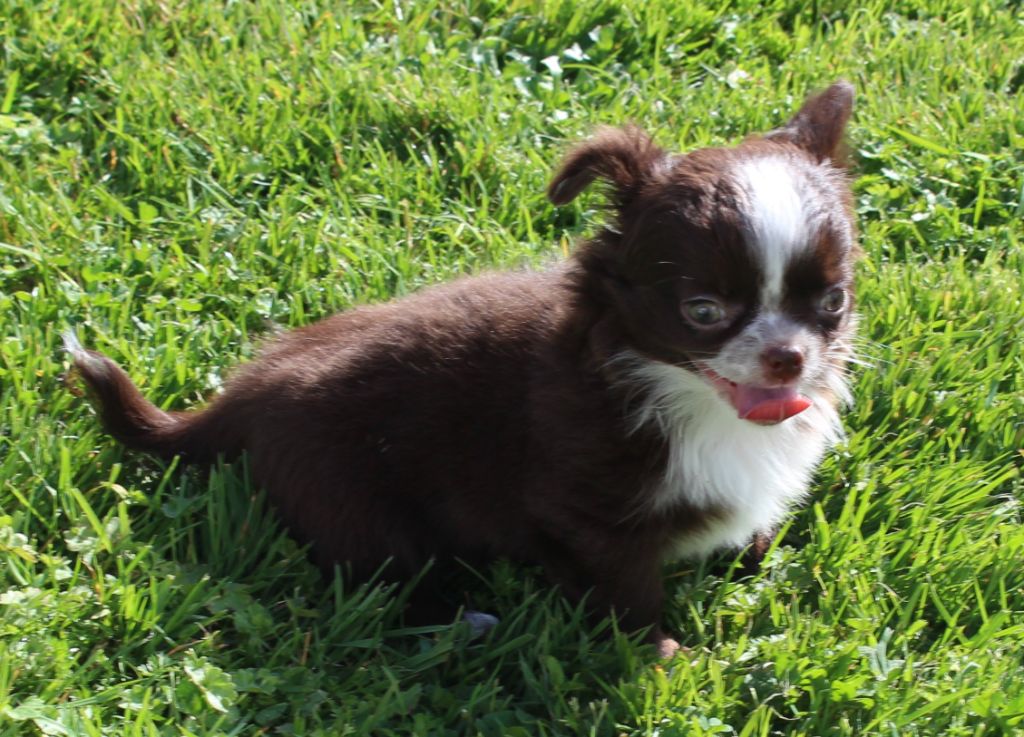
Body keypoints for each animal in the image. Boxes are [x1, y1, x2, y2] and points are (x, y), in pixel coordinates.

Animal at [68, 80, 860, 655]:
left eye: (834, 301)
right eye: (702, 310)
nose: (787, 356)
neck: (681, 391)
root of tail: (244, 394)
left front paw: (751, 551)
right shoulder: (587, 513)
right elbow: (626, 589)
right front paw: (661, 655)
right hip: (356, 503)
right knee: (381, 575)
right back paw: (465, 621)